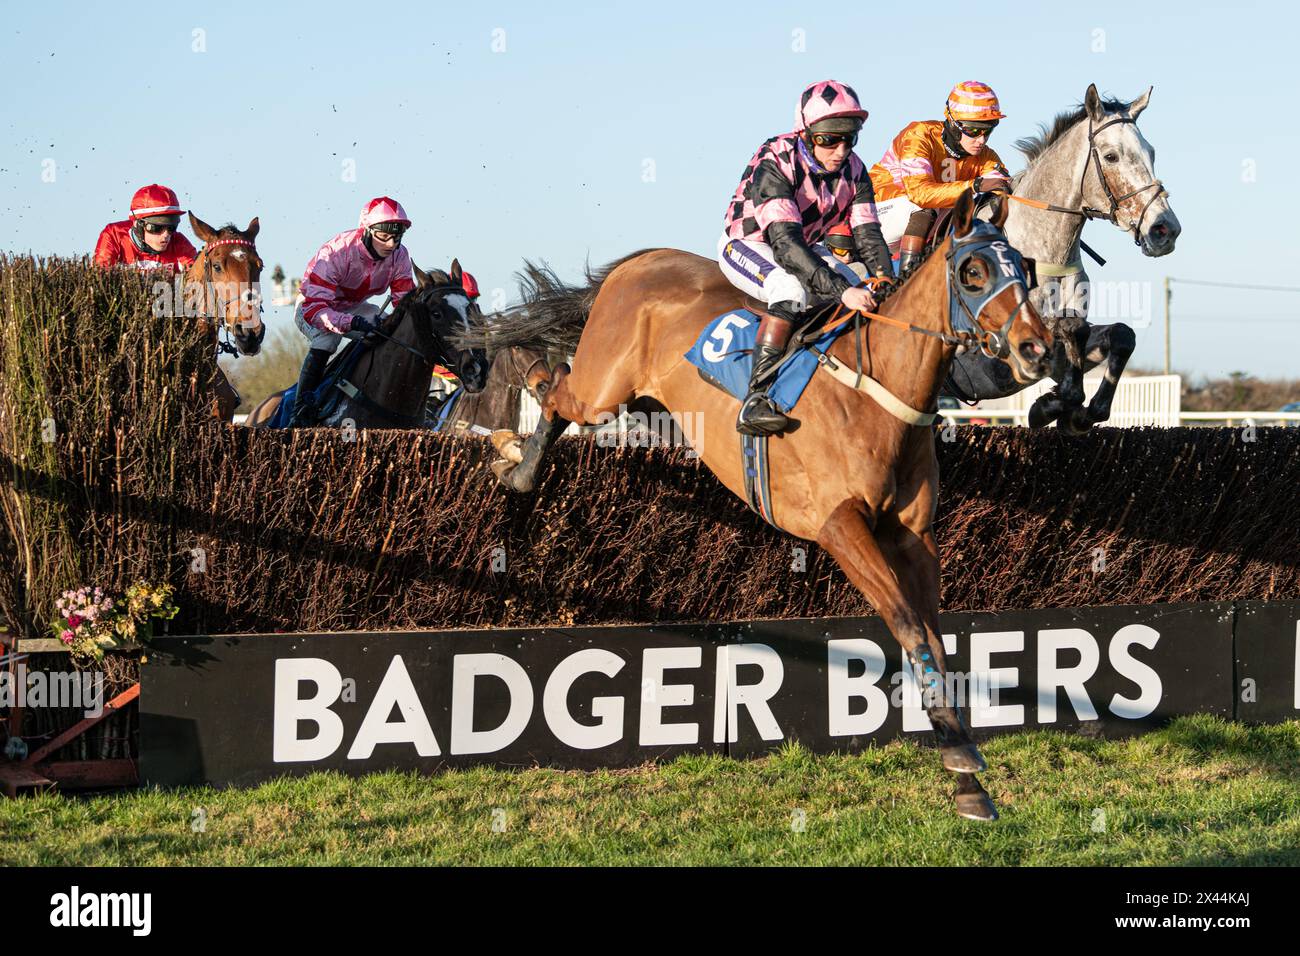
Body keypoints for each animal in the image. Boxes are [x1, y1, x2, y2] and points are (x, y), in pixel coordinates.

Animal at [462, 195, 1050, 822]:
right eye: (973, 271)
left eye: (1025, 267)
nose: (1037, 349)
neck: (876, 393)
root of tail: (644, 260)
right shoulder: (839, 525)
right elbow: (908, 627)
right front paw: (960, 758)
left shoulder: (915, 535)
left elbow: (936, 641)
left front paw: (967, 773)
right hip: (603, 390)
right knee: (555, 390)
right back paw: (515, 443)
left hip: (644, 405)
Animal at [946, 83, 1180, 431]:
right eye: (1111, 156)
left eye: (1151, 152)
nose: (1165, 229)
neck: (1044, 257)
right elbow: (1064, 332)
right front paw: (1051, 404)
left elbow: (1117, 334)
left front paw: (1074, 410)